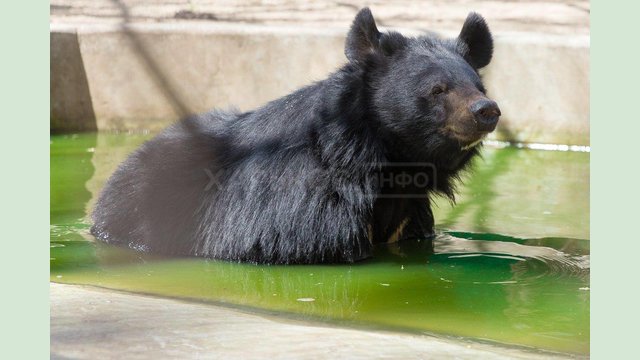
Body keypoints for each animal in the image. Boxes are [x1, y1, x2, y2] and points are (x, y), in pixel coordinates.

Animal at [90, 7, 500, 262]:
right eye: (437, 89)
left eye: (477, 85)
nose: (487, 110)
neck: (390, 164)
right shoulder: (303, 205)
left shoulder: (411, 213)